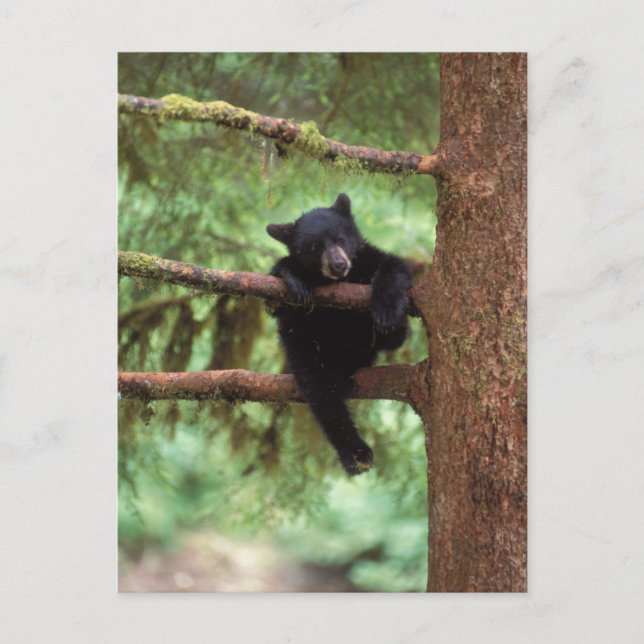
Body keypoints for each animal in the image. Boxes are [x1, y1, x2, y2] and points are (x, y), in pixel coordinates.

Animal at [266, 193, 412, 475]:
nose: (338, 265)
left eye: (340, 239)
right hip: (307, 355)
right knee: (324, 398)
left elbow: (394, 265)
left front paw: (386, 310)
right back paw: (356, 452)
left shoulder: (368, 259)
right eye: (313, 247)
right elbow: (275, 300)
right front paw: (293, 276)